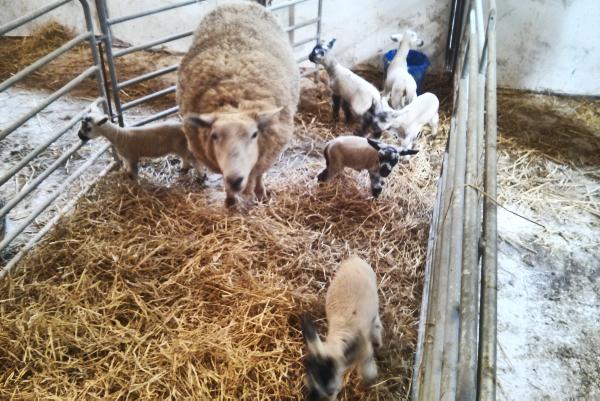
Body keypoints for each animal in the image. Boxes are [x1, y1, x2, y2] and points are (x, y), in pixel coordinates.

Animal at [178, 2, 299, 207]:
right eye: (214, 136)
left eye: (254, 134)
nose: (235, 179)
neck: (234, 101)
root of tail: (239, 2)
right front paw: (230, 200)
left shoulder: (265, 155)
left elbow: (259, 175)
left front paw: (260, 193)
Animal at [301, 255, 383, 400]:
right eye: (307, 383)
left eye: (331, 391)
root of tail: (355, 258)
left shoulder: (365, 352)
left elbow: (368, 371)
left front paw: (366, 384)